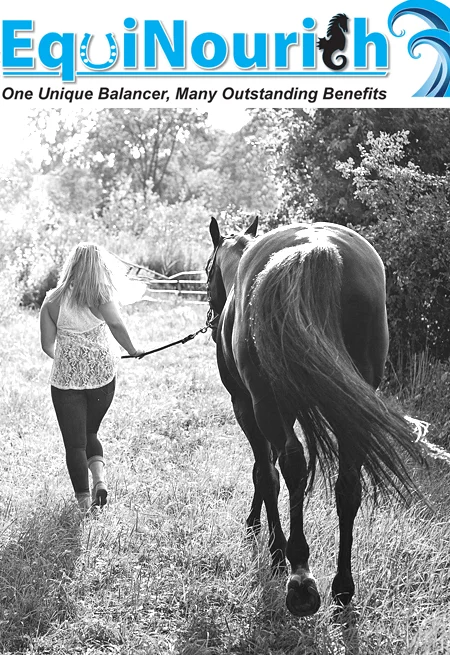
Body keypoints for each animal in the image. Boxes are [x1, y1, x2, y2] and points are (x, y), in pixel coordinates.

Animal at [206, 218, 424, 616]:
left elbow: (265, 472)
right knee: (348, 485)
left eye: (206, 269)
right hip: (349, 409)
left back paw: (300, 577)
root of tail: (314, 248)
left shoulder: (246, 406)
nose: (212, 319)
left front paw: (271, 545)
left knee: (291, 466)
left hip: (266, 405)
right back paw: (342, 587)